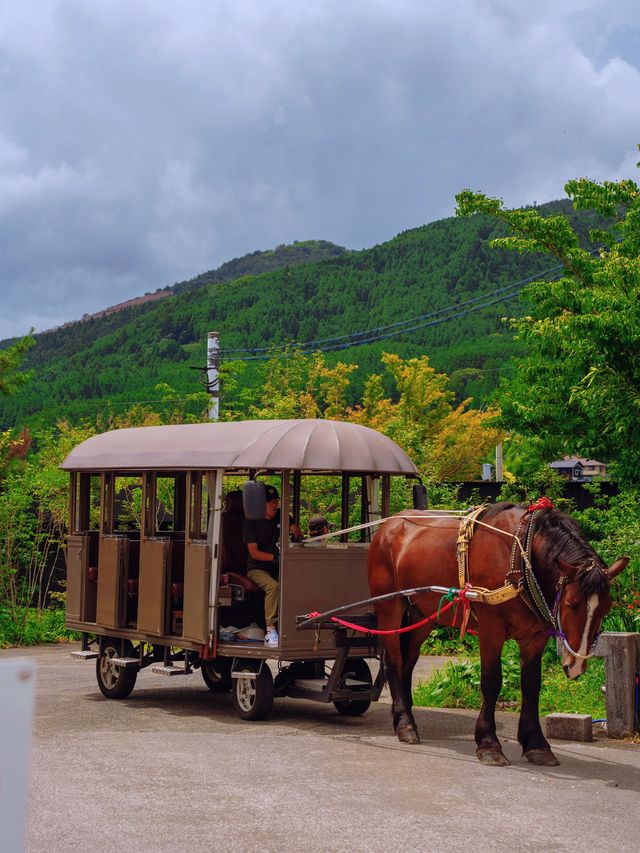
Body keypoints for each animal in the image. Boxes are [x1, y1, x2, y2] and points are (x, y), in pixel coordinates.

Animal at [368, 500, 628, 764]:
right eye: (572, 604)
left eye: (606, 608)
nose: (576, 665)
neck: (521, 555)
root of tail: (388, 525)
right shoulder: (490, 627)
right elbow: (491, 681)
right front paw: (488, 743)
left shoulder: (535, 637)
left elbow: (532, 685)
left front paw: (536, 744)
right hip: (390, 608)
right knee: (394, 662)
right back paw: (405, 724)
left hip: (423, 614)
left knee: (408, 660)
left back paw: (405, 714)